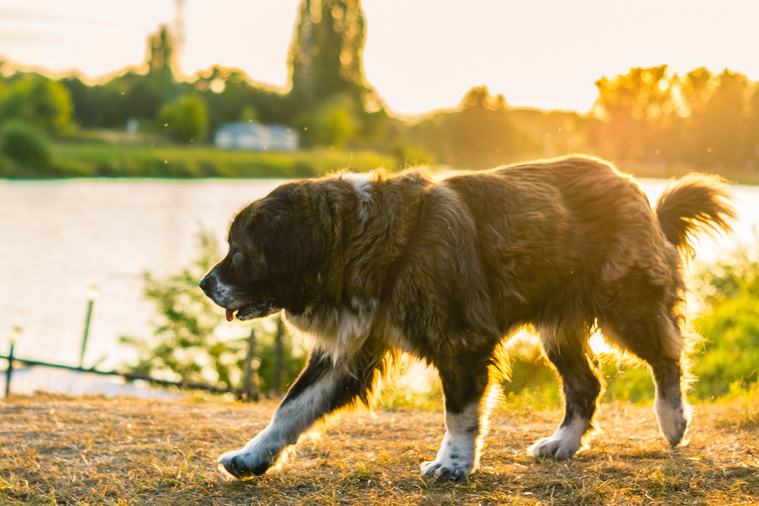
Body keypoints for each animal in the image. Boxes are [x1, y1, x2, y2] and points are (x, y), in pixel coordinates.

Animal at [199, 156, 732, 480]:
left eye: (240, 253)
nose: (204, 284)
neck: (364, 240)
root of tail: (636, 190)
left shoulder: (461, 342)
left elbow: (459, 412)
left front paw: (453, 465)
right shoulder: (348, 355)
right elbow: (289, 408)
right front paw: (251, 456)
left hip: (626, 307)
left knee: (667, 357)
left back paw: (673, 420)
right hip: (557, 329)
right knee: (587, 385)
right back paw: (562, 443)